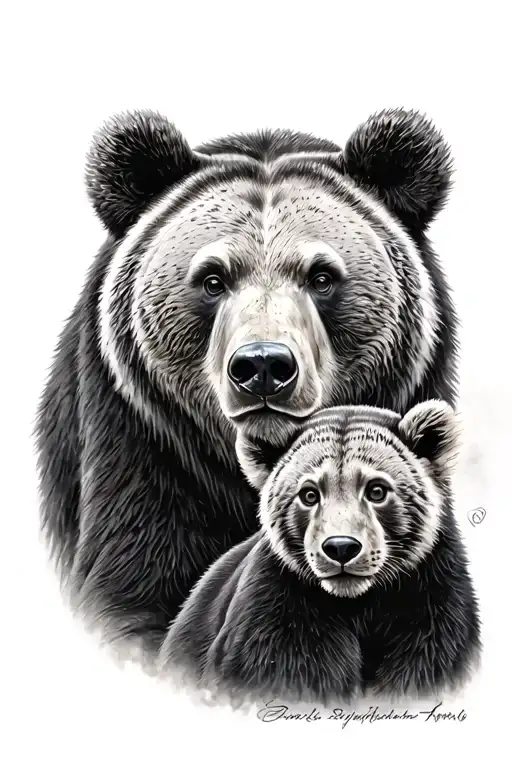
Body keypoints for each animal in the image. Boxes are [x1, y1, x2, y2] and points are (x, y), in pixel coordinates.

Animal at [158, 401, 481, 704]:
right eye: (309, 493)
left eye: (377, 490)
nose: (341, 547)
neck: (358, 605)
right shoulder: (279, 616)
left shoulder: (430, 605)